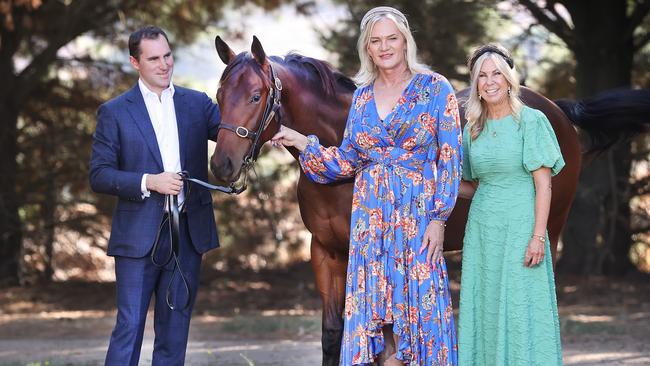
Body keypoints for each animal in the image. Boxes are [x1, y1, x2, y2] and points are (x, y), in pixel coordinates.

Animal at [210, 35, 644, 366]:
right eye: (219, 94)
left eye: (255, 95)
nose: (222, 165)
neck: (339, 168)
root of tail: (556, 110)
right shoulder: (326, 252)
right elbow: (333, 334)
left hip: (549, 230)